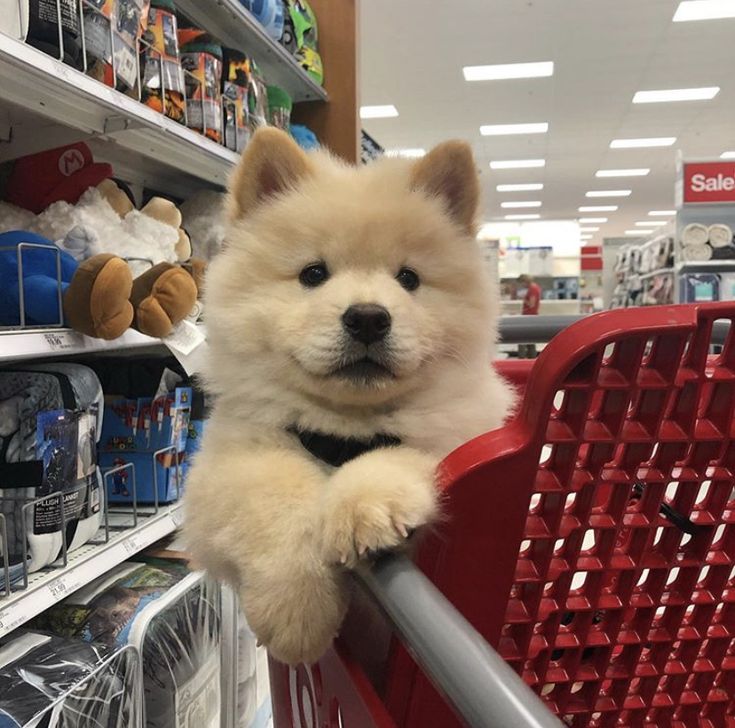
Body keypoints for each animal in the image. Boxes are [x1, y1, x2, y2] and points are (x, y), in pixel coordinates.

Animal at [184, 126, 516, 664]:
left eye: (409, 278)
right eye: (313, 274)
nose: (368, 317)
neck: (344, 430)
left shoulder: (460, 435)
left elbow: (402, 454)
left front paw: (366, 508)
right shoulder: (224, 468)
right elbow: (276, 496)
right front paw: (297, 617)